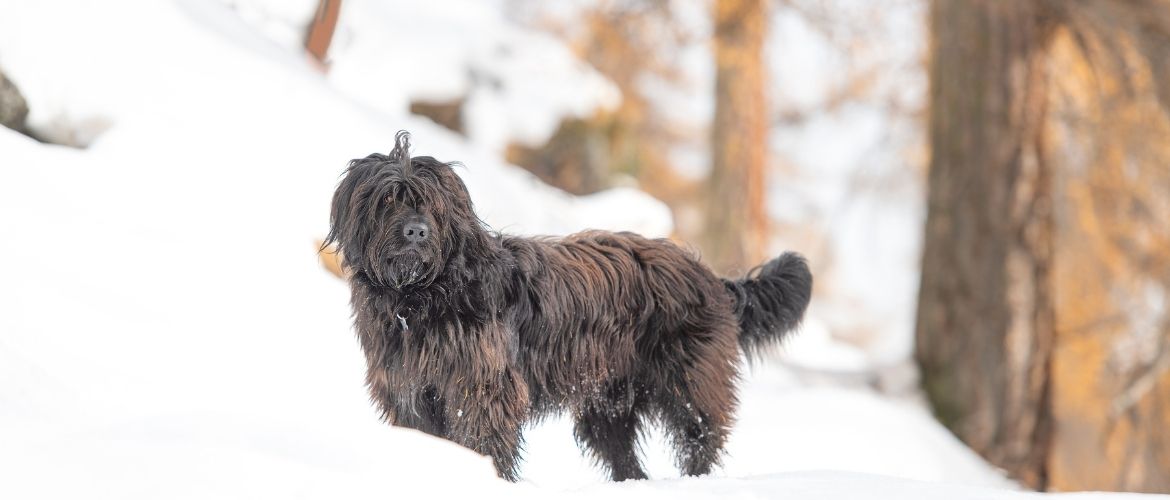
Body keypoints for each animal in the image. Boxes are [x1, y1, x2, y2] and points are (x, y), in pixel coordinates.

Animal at [322, 131, 814, 482]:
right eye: (388, 200)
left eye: (434, 205)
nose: (417, 232)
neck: (425, 294)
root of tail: (709, 275)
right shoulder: (408, 390)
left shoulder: (482, 387)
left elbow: (483, 439)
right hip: (609, 399)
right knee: (623, 453)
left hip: (687, 379)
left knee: (701, 435)